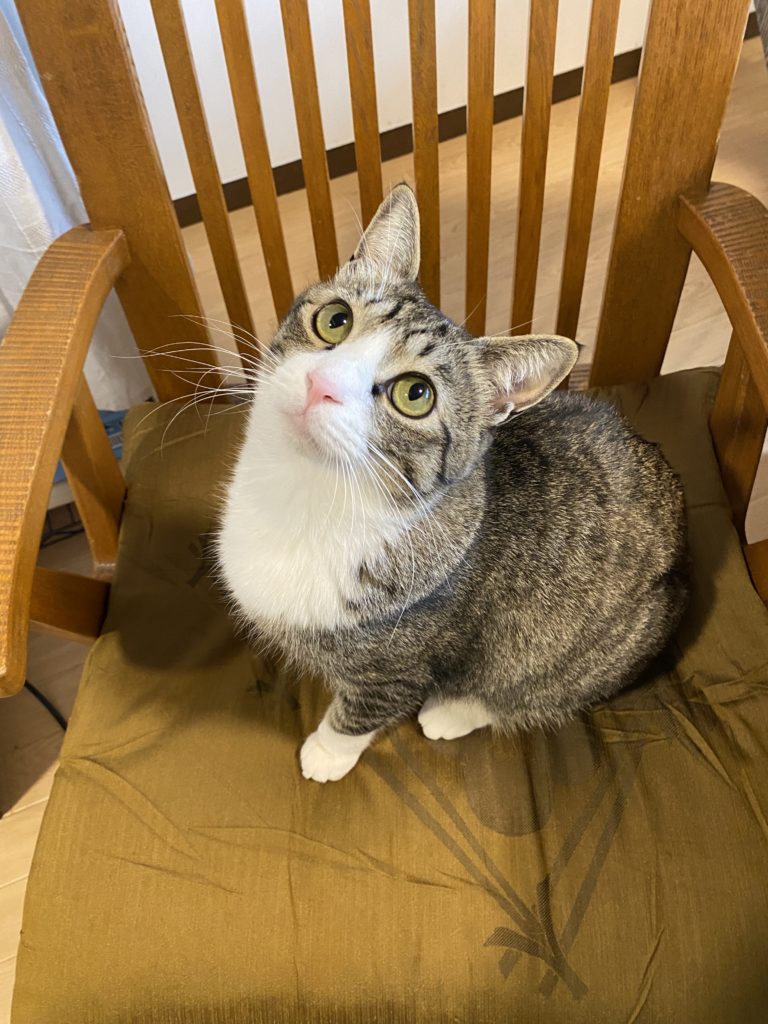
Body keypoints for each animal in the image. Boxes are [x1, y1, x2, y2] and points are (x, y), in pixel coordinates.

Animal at [217, 183, 687, 783]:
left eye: (415, 394)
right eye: (335, 320)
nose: (323, 383)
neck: (305, 494)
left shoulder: (398, 665)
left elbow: (365, 708)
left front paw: (327, 751)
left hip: (589, 645)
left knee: (535, 688)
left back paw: (455, 711)